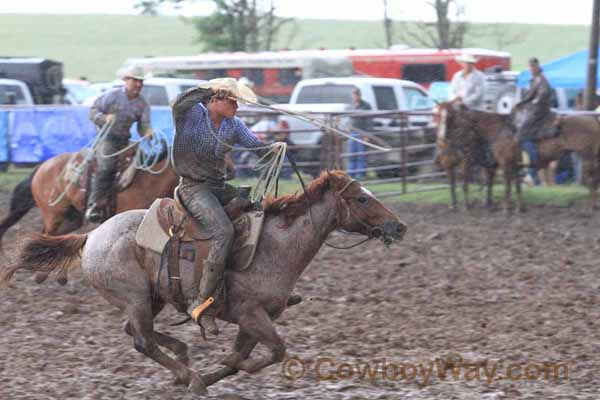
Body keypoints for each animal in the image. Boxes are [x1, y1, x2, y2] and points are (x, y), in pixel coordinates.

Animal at [0, 170, 408, 396]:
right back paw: (188, 374)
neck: (275, 245)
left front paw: (219, 372)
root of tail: (92, 235)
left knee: (134, 332)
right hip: (134, 296)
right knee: (142, 340)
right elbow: (275, 351)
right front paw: (211, 376)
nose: (399, 226)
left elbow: (243, 357)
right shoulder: (251, 314)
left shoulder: (253, 320)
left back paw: (183, 358)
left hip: (152, 298)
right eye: (361, 199)